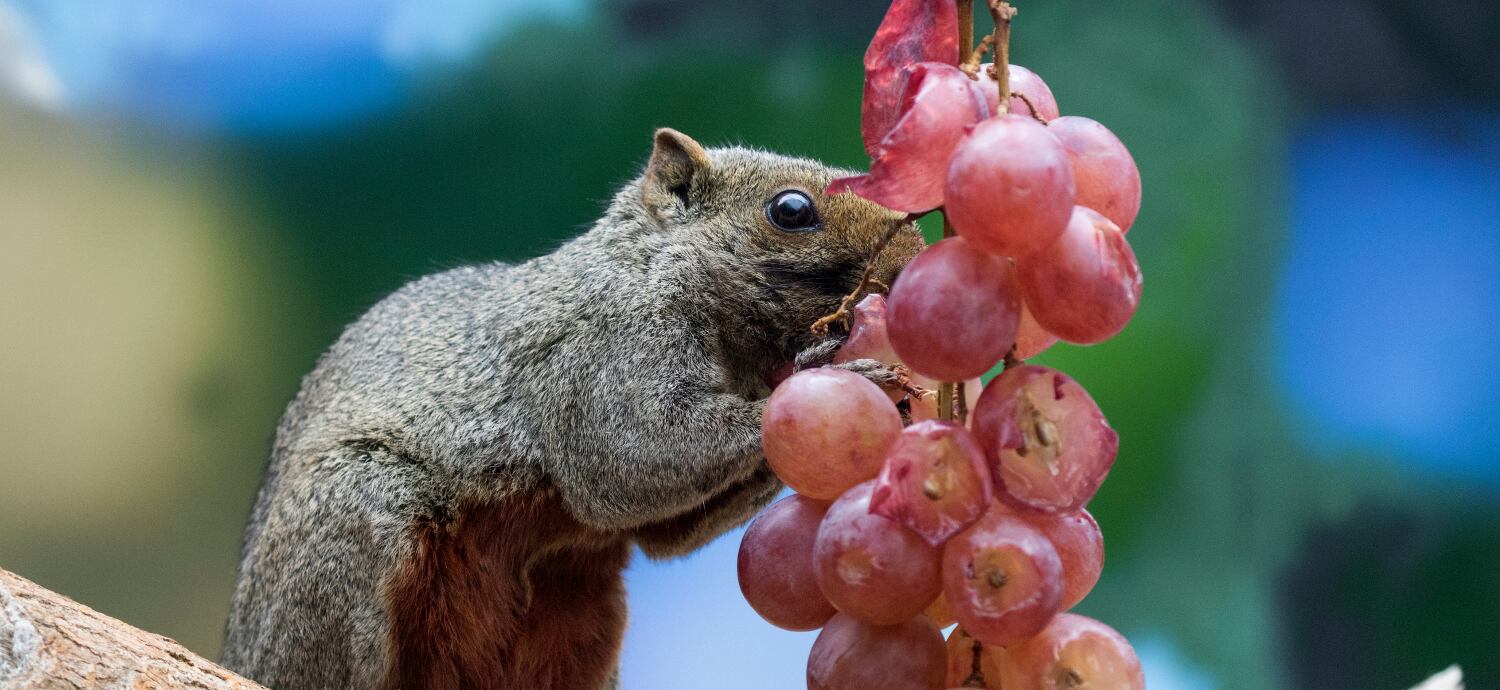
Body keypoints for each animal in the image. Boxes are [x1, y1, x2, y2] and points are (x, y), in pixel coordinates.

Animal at [219, 130, 924, 690]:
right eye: (791, 209)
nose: (912, 258)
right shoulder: (604, 350)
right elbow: (633, 456)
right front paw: (840, 372)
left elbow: (663, 530)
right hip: (356, 519)